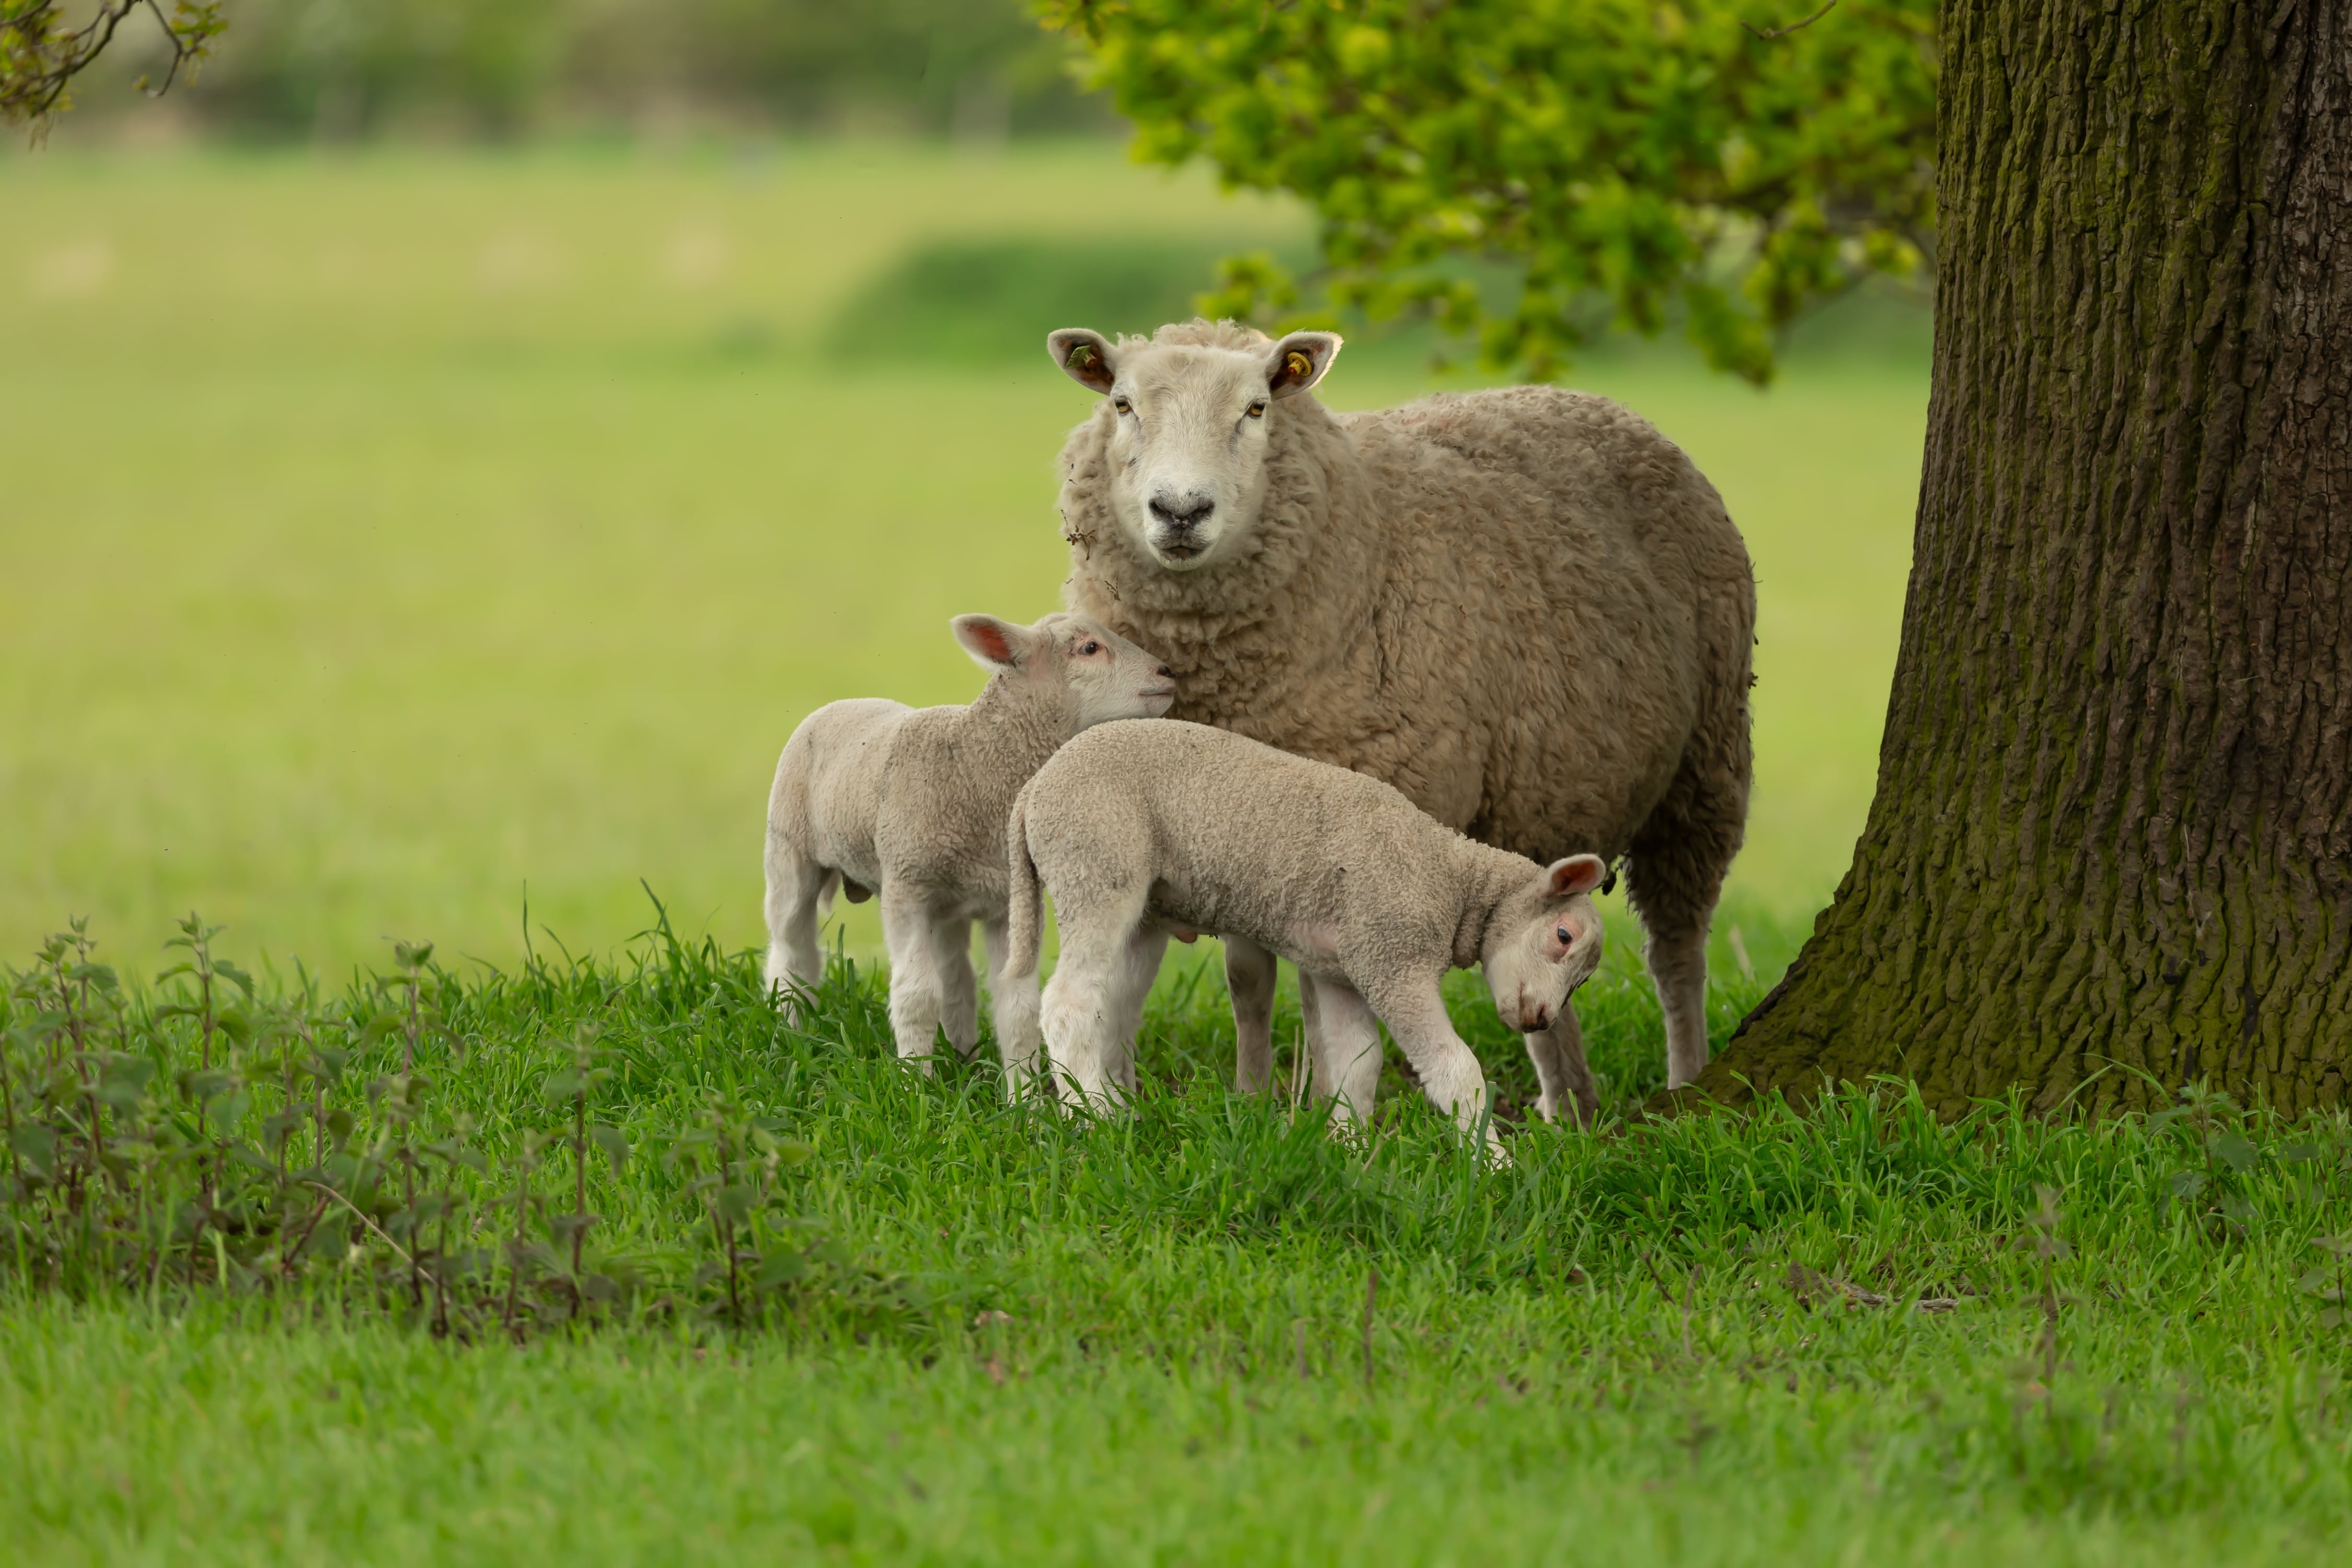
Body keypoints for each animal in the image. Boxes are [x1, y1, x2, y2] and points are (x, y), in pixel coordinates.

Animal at [762, 606, 1176, 1086]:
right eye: (1089, 648)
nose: (1167, 672)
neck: (971, 765)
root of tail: (845, 702)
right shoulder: (906, 887)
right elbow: (917, 995)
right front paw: (913, 1085)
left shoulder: (1008, 903)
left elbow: (1017, 1008)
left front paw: (1024, 1098)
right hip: (790, 851)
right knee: (793, 950)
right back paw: (788, 1032)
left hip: (949, 903)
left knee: (955, 976)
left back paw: (960, 1055)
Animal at [1002, 719, 1609, 1147]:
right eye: (1562, 936)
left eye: (1583, 979)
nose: (1540, 1020)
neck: (1451, 882)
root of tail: (1032, 791)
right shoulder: (1392, 958)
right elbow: (1456, 1070)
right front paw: (1494, 1165)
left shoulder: (1343, 969)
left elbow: (1358, 1063)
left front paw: (1350, 1150)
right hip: (1096, 865)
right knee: (1068, 1005)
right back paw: (1094, 1120)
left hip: (1134, 906)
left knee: (1092, 1007)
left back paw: (1100, 1107)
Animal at [1044, 322, 1750, 1128]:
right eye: (1122, 403)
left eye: (1257, 408)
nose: (1181, 511)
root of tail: (1591, 398)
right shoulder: (1237, 829)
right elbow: (1249, 978)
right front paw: (1257, 1096)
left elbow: (1323, 1000)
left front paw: (1320, 1106)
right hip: (1544, 804)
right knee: (1545, 957)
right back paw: (1567, 1102)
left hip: (1706, 771)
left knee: (1677, 949)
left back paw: (1686, 1080)